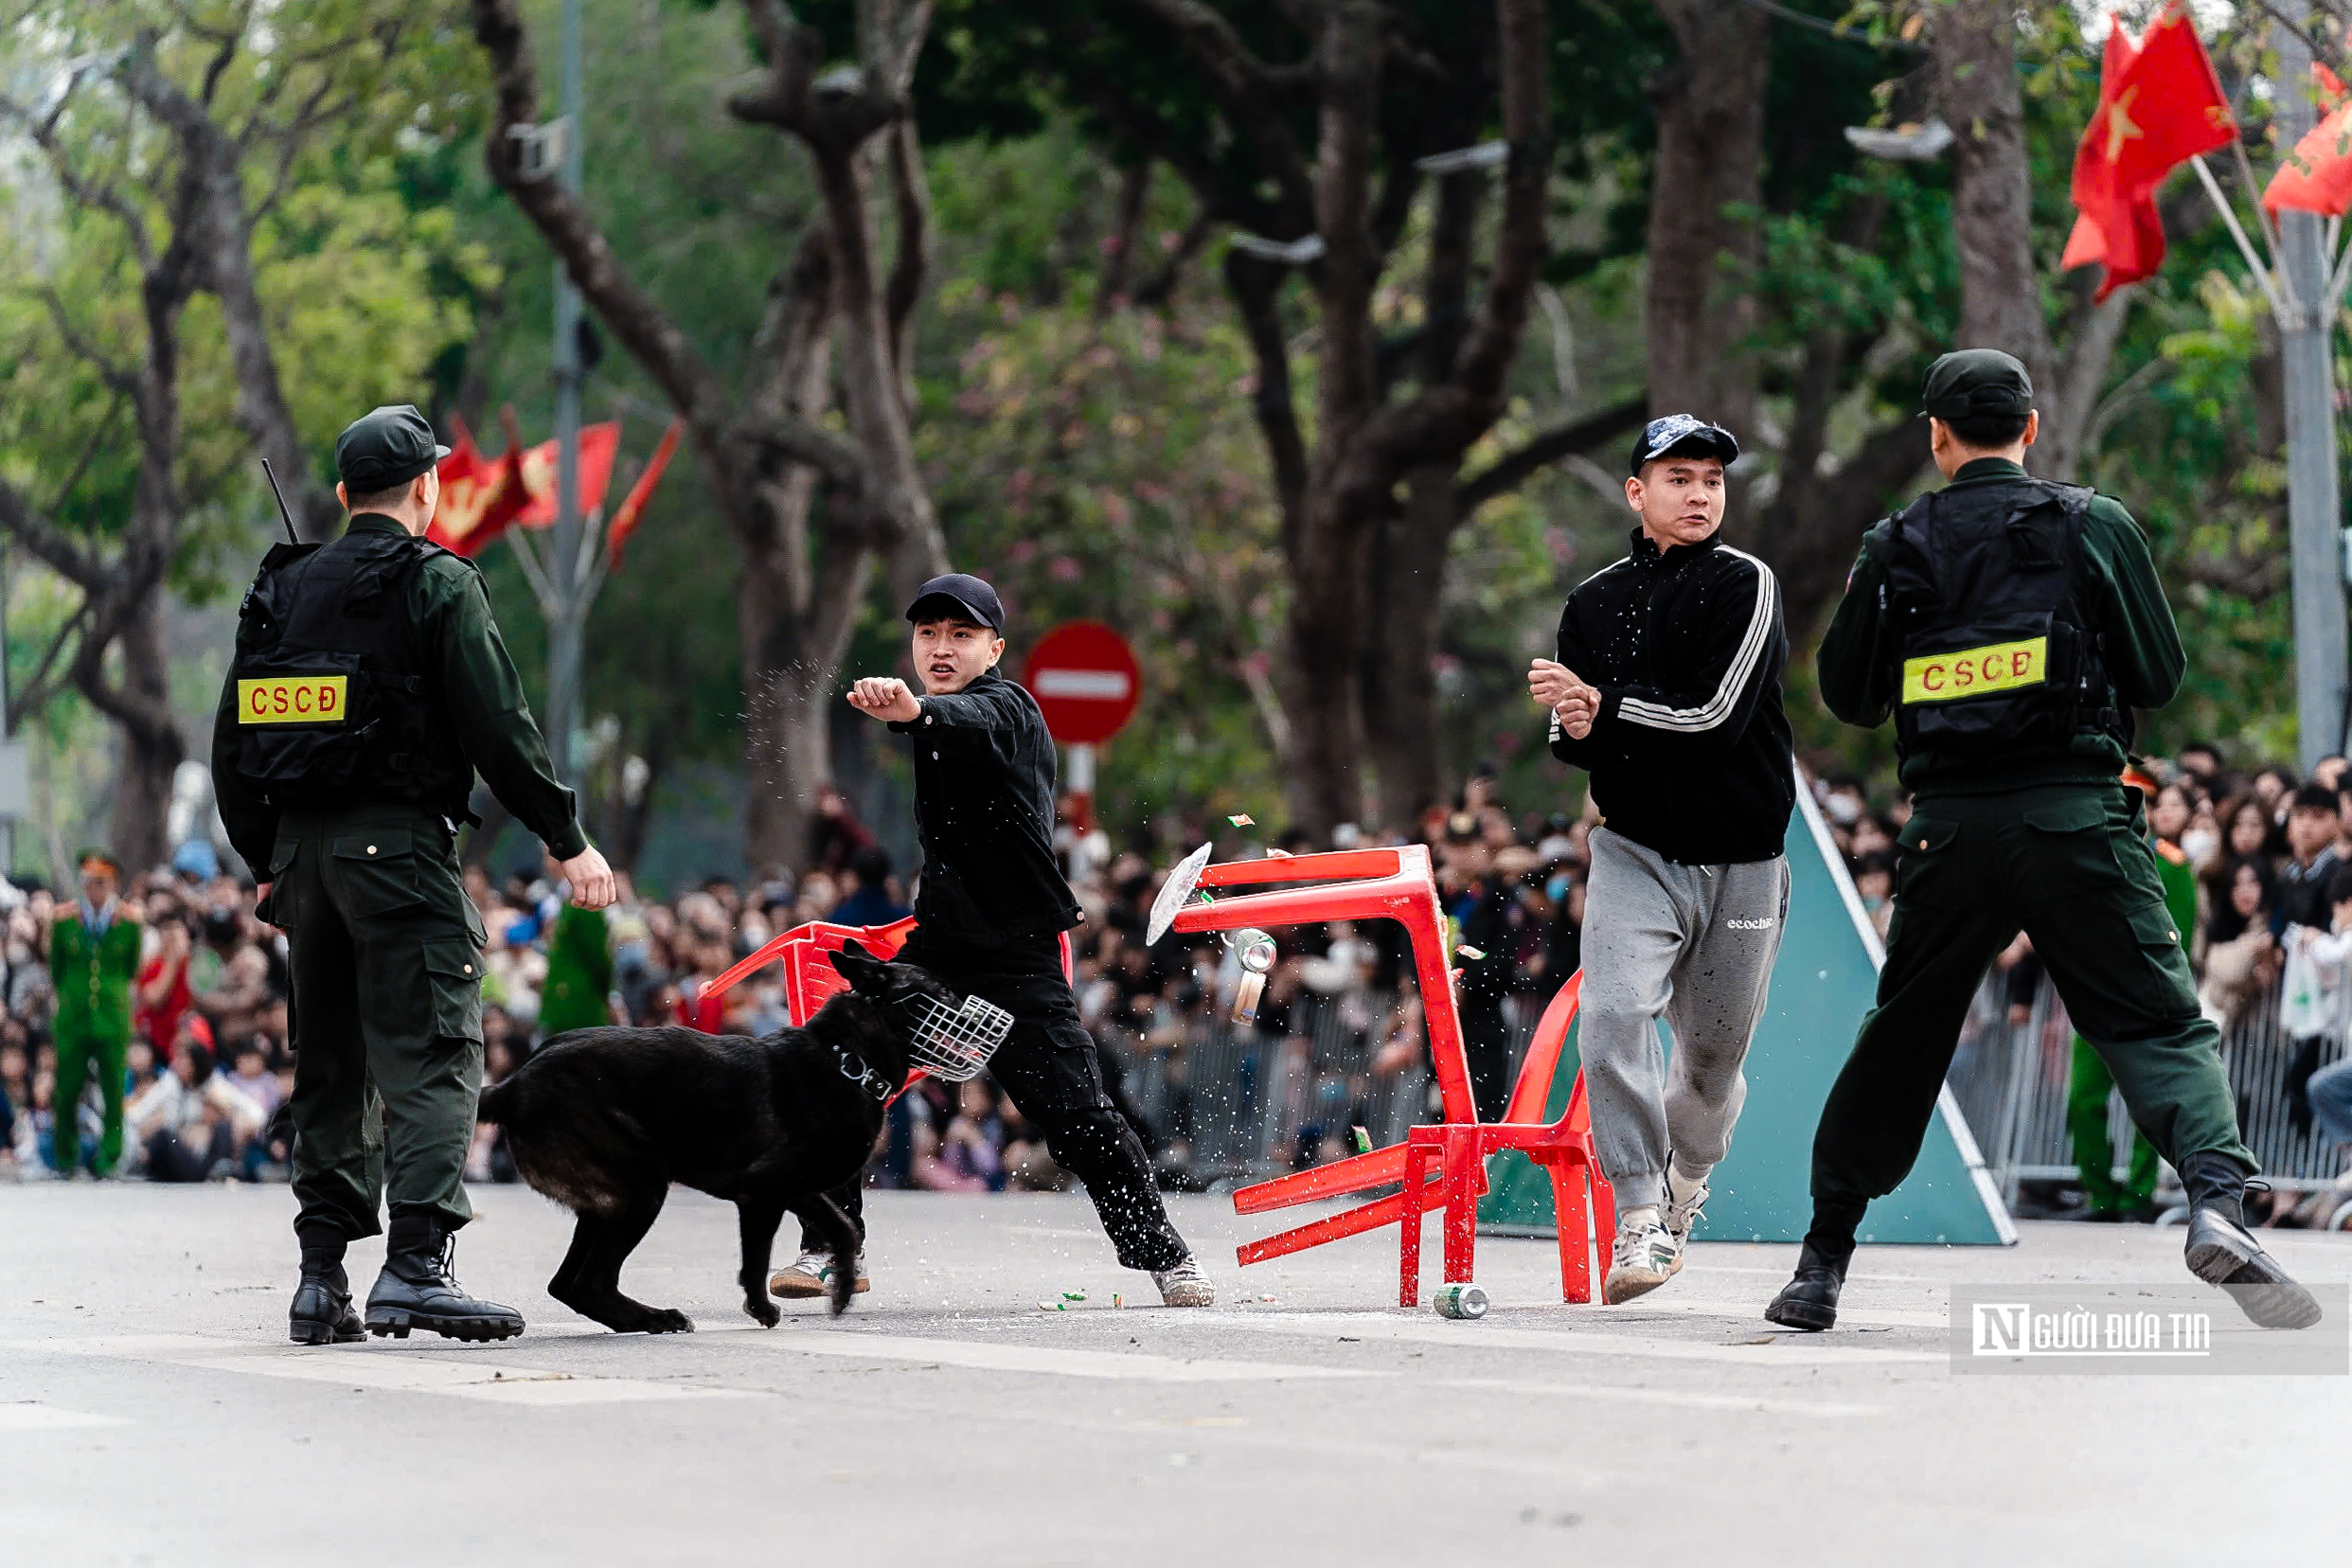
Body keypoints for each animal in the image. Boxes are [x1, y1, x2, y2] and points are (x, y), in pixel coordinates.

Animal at [479, 945, 935, 1335]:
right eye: (938, 990)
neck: (847, 1059)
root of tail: (514, 1083)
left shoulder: (793, 1190)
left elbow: (844, 1229)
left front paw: (840, 1291)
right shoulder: (763, 1191)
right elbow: (757, 1262)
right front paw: (763, 1309)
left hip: (607, 1202)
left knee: (566, 1284)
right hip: (643, 1185)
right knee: (591, 1282)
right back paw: (656, 1319)